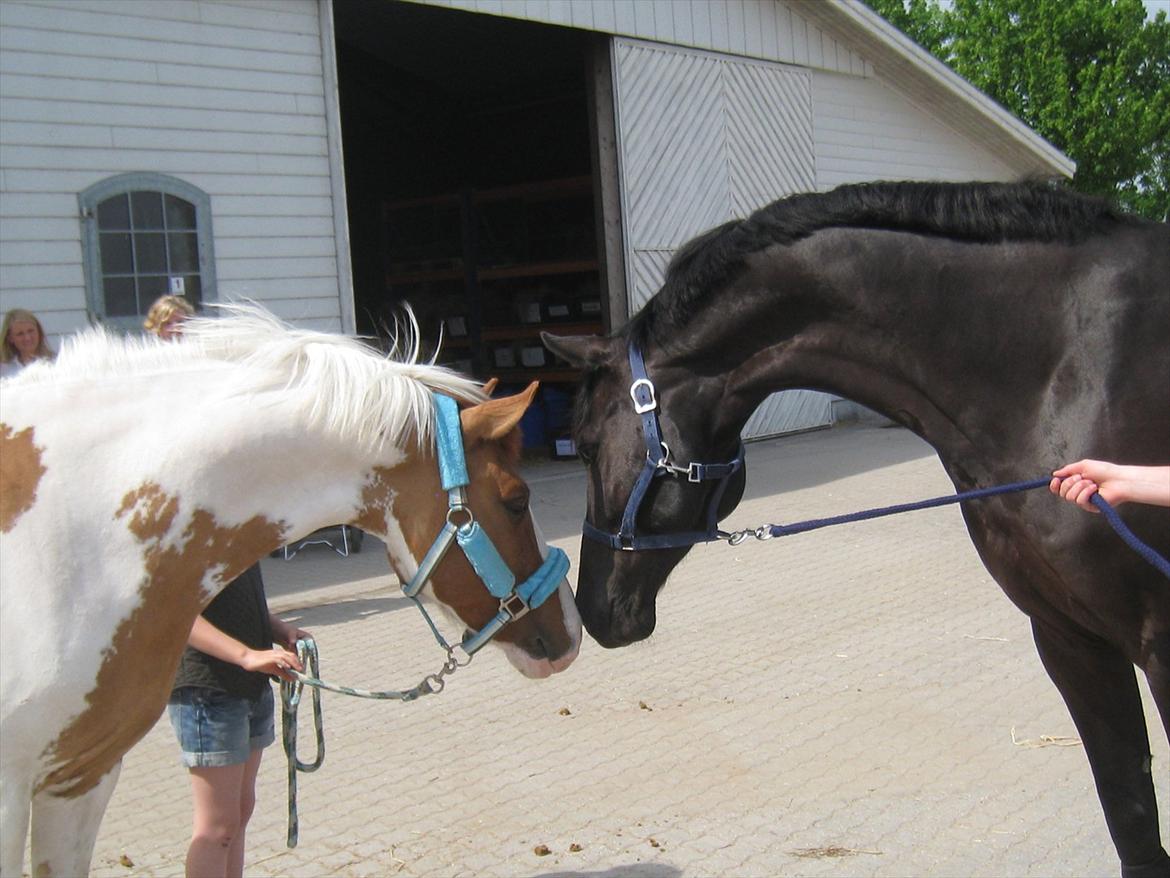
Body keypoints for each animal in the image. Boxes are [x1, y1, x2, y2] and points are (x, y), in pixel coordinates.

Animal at [545, 180, 1170, 878]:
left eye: (588, 444)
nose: (594, 611)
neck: (1065, 364)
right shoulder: (1068, 635)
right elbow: (1130, 815)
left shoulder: (1160, 644)